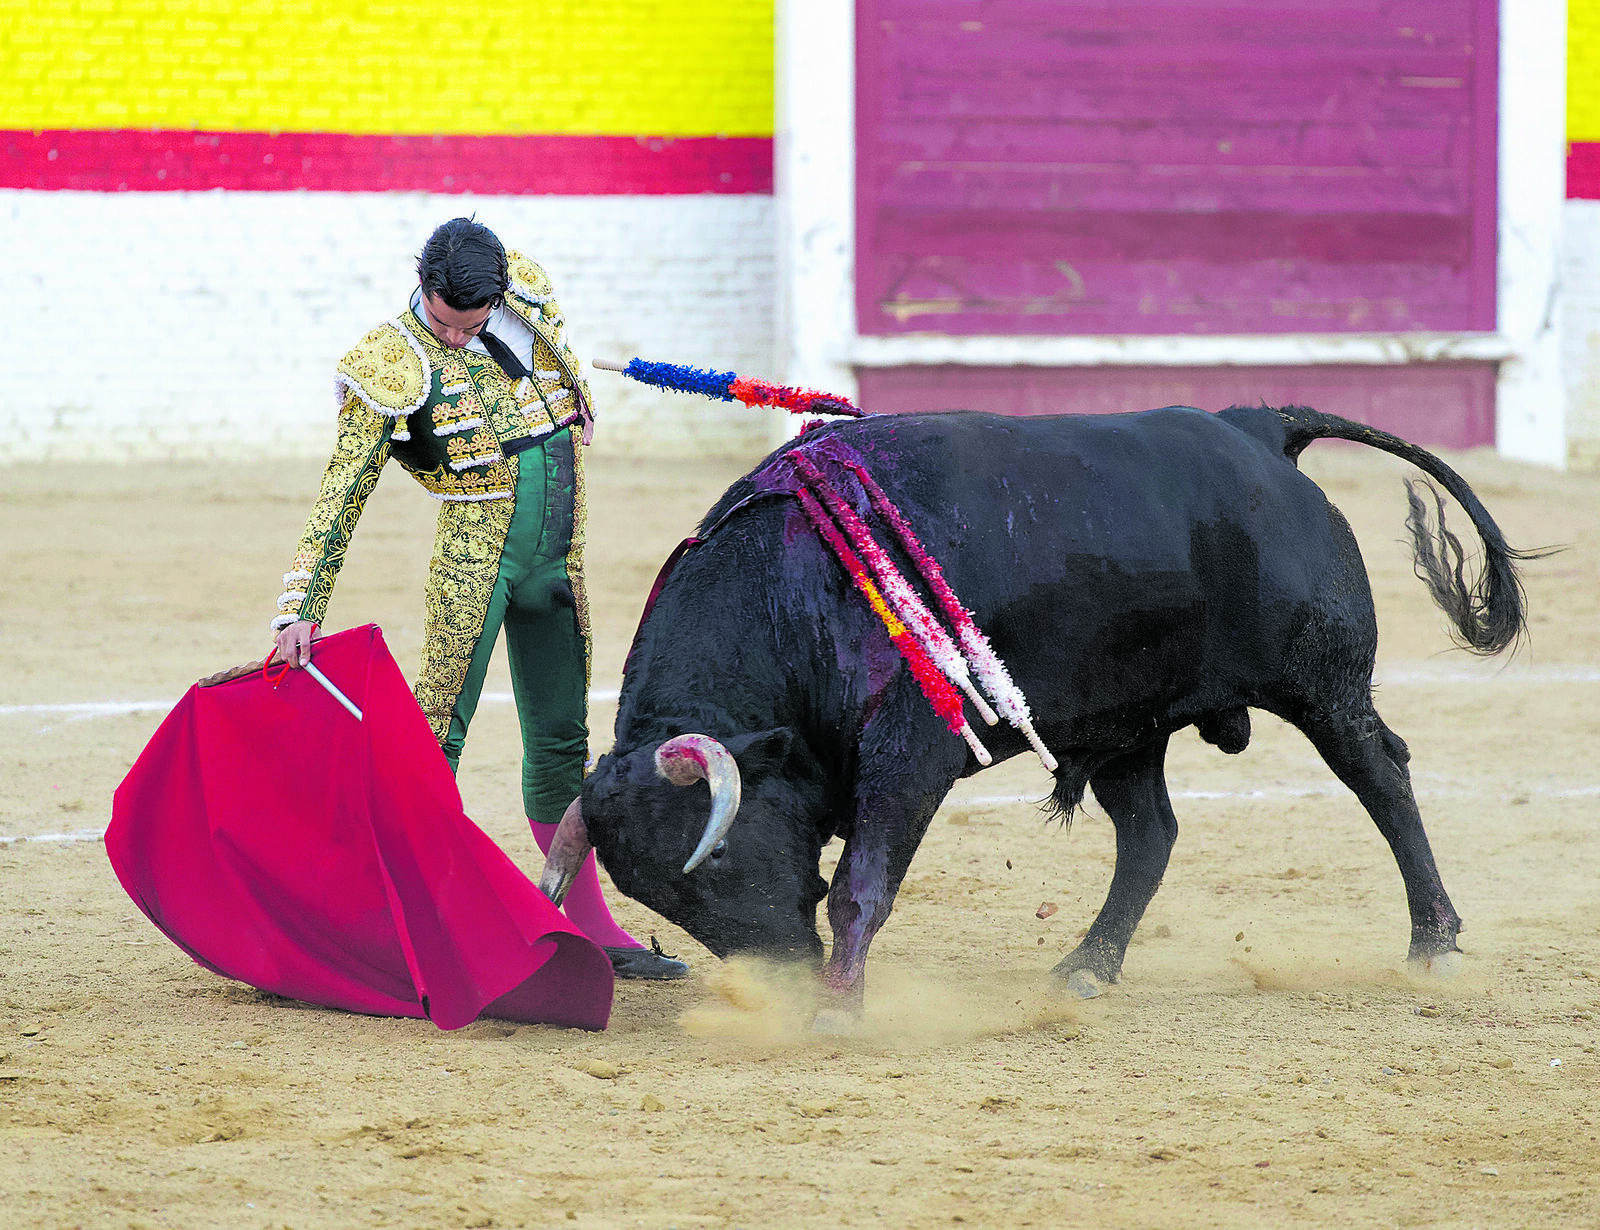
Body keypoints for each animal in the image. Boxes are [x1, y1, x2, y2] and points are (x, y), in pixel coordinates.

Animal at [540, 406, 1536, 1010]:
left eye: (714, 860)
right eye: (663, 897)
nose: (783, 984)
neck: (795, 589)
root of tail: (1253, 427)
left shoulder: (912, 751)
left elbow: (862, 883)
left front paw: (838, 1012)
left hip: (1323, 684)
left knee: (1383, 779)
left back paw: (1435, 942)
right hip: (1132, 725)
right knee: (1151, 835)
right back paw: (1087, 969)